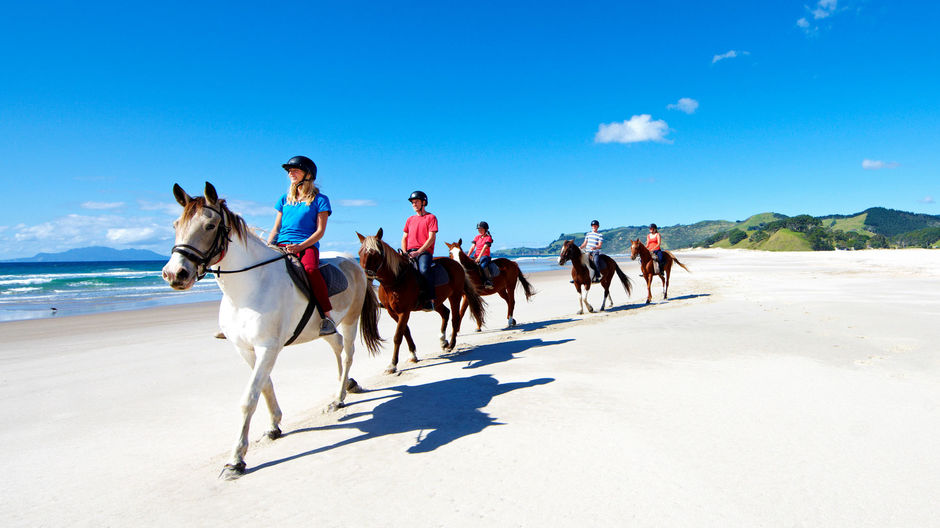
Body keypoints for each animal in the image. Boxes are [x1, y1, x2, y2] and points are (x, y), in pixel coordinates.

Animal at [162, 180, 382, 478]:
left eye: (209, 225)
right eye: (176, 224)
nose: (175, 274)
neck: (249, 288)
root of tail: (352, 261)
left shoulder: (268, 347)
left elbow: (249, 397)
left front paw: (236, 460)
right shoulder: (246, 349)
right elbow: (264, 386)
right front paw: (274, 425)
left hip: (350, 320)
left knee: (347, 354)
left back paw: (338, 398)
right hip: (322, 328)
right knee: (336, 345)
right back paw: (346, 384)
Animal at [354, 229, 484, 374]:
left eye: (374, 253)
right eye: (359, 253)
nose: (364, 276)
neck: (395, 280)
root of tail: (458, 265)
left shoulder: (404, 311)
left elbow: (398, 336)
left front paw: (393, 364)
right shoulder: (392, 312)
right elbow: (405, 332)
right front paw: (412, 355)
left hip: (455, 296)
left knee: (455, 318)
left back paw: (451, 344)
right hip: (436, 301)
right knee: (445, 313)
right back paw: (443, 341)